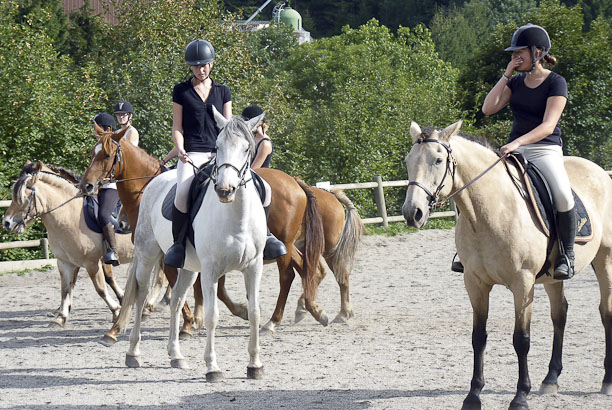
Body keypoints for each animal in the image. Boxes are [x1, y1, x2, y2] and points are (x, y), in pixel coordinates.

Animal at [1, 162, 133, 326]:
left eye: (23, 197)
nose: (6, 223)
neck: (70, 216)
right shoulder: (65, 262)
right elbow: (66, 288)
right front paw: (61, 315)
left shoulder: (93, 262)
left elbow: (101, 287)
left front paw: (116, 309)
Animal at [113, 106, 266, 382]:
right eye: (217, 146)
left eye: (246, 148)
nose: (224, 190)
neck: (236, 217)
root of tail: (153, 182)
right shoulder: (211, 271)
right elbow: (212, 316)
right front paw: (212, 367)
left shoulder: (254, 267)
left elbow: (255, 312)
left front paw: (255, 365)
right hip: (149, 255)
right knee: (141, 297)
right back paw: (133, 353)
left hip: (188, 267)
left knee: (175, 300)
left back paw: (176, 356)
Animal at [402, 121, 612, 410]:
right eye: (408, 161)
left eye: (438, 160)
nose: (413, 213)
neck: (490, 211)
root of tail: (601, 172)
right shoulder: (475, 283)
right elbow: (478, 337)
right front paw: (473, 396)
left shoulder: (522, 283)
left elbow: (521, 339)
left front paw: (520, 397)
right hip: (553, 277)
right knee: (560, 314)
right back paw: (551, 380)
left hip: (605, 259)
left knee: (606, 312)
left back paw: (607, 381)